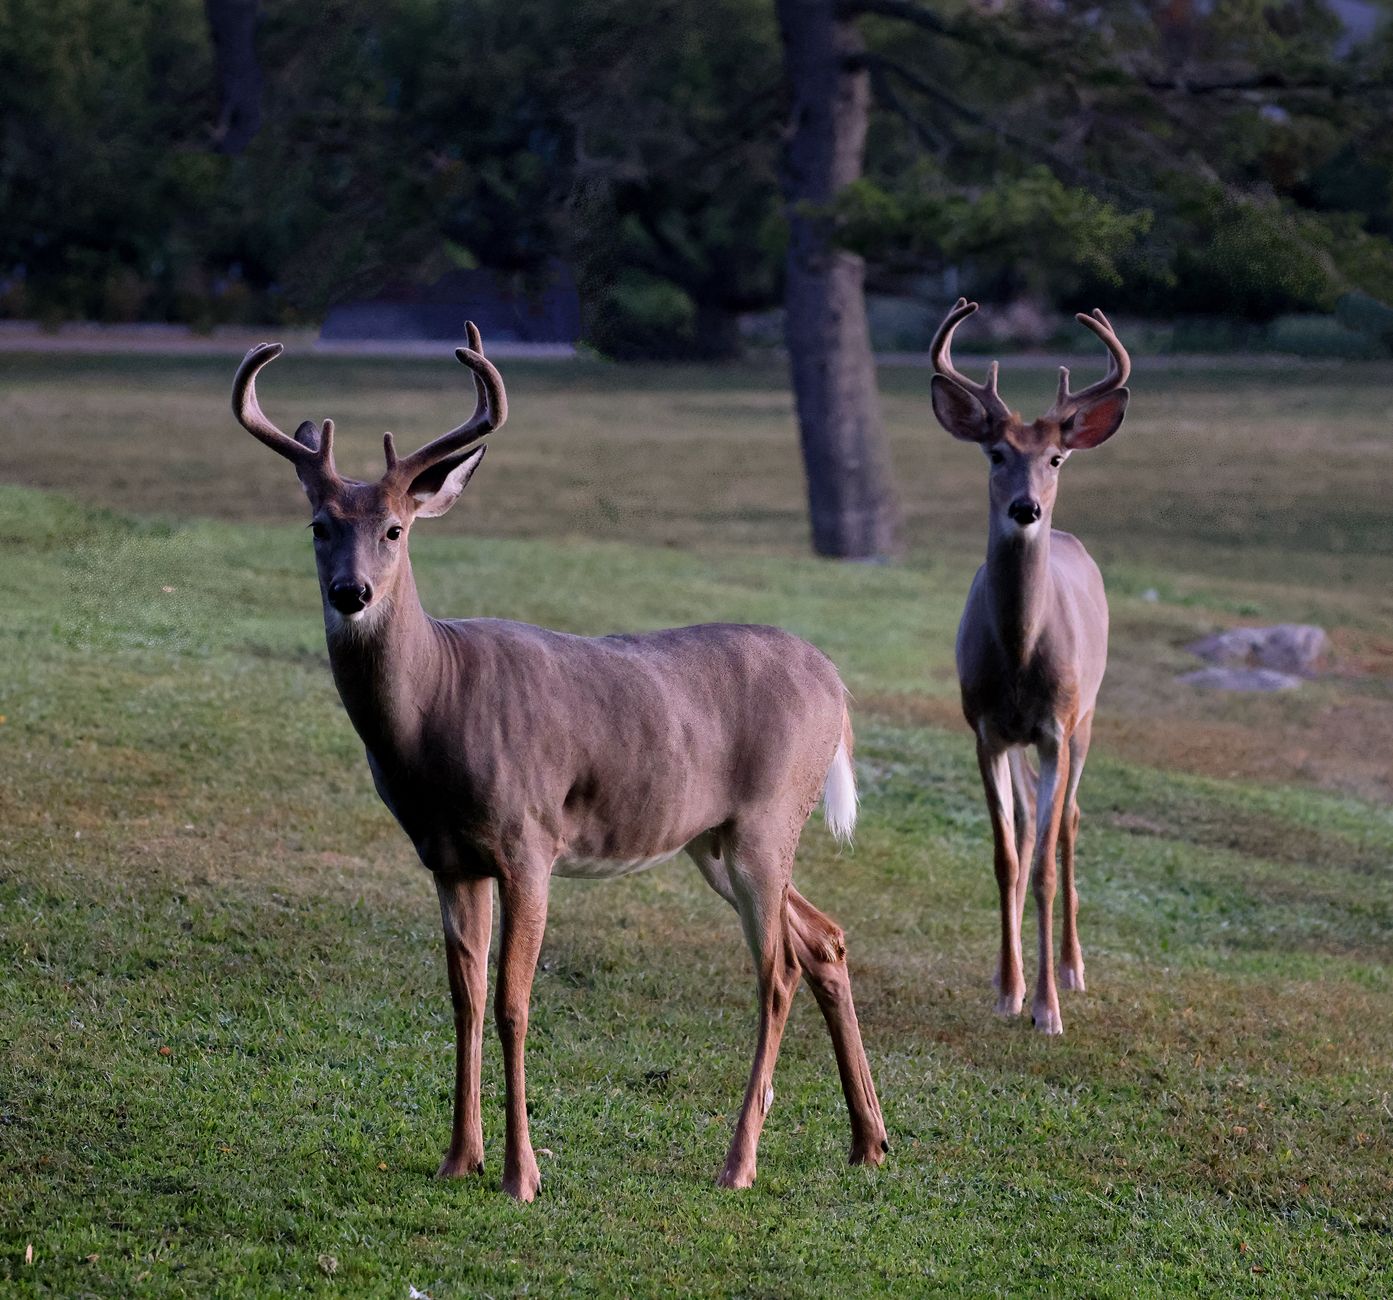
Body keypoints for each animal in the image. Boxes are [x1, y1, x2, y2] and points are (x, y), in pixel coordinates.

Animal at [228, 326, 888, 1200]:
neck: (437, 705)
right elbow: (464, 999)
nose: (351, 593)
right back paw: (869, 1141)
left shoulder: (528, 839)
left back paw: (739, 1161)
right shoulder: (448, 858)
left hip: (766, 819)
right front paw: (458, 1156)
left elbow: (514, 1002)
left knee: (776, 969)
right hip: (712, 841)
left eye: (396, 529)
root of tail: (836, 685)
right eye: (317, 525)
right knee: (824, 938)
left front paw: (520, 1174)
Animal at [928, 298, 1130, 1036]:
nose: (1026, 507)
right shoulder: (985, 729)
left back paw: (1070, 968)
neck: (1019, 656)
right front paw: (1009, 989)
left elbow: (1041, 864)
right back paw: (1007, 970)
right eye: (996, 453)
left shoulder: (1055, 726)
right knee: (1024, 824)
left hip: (1089, 717)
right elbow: (1005, 856)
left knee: (1067, 822)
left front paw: (1046, 1007)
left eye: (1055, 457)